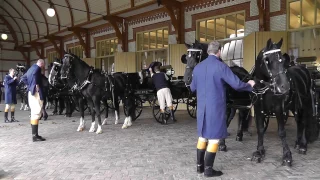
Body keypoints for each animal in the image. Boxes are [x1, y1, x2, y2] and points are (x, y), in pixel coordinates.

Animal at [251, 38, 318, 166]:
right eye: (267, 60)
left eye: (282, 60)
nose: (285, 86)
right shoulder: (258, 110)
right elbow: (260, 130)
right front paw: (259, 152)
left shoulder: (279, 109)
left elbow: (282, 132)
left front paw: (287, 156)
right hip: (294, 106)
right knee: (299, 122)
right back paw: (297, 142)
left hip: (305, 103)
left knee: (304, 120)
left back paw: (303, 145)